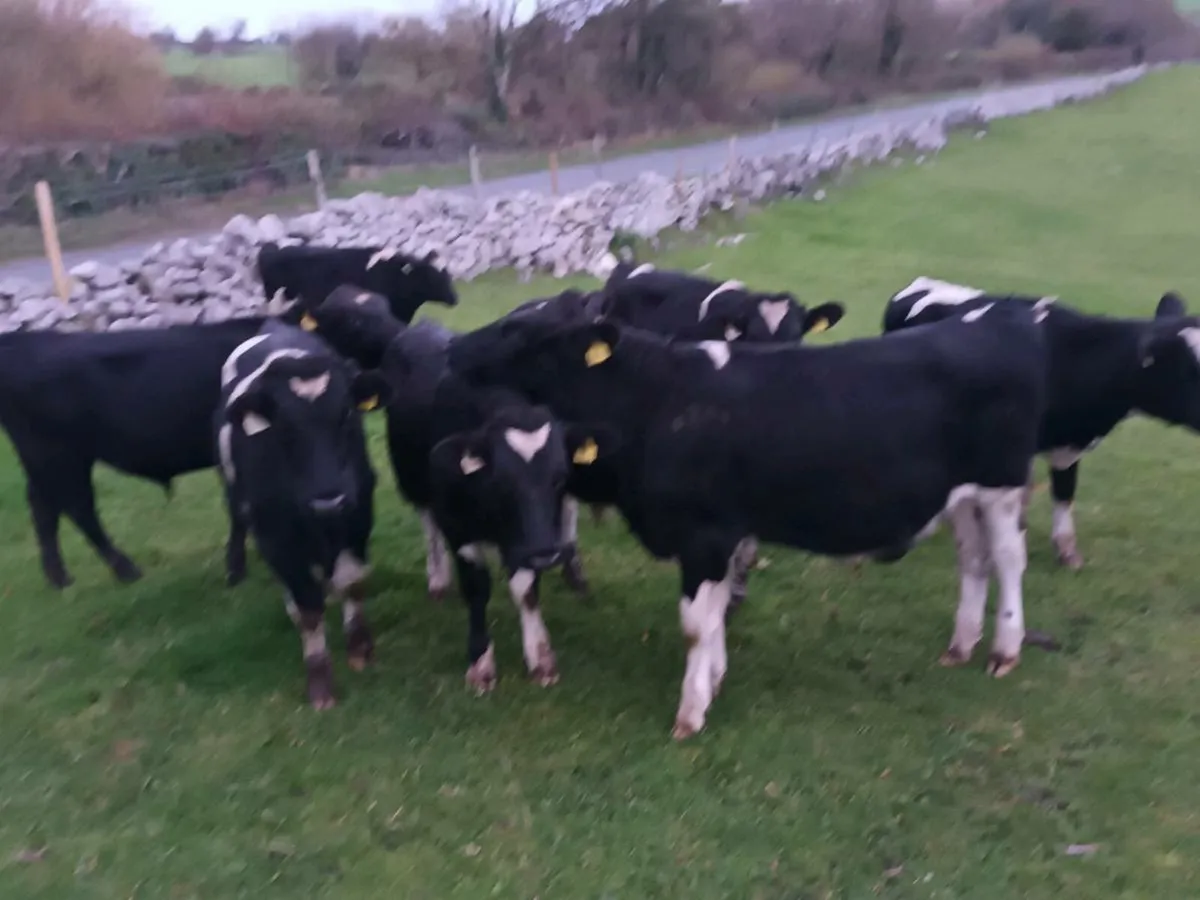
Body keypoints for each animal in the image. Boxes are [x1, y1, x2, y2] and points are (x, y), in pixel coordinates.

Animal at [215, 319, 391, 709]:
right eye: (282, 426)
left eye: (347, 414)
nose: (327, 501)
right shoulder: (275, 536)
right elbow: (308, 608)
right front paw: (320, 682)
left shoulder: (358, 516)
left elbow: (352, 581)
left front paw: (361, 650)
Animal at [447, 303, 1049, 739]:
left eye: (520, 336)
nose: (453, 348)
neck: (655, 401)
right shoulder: (723, 534)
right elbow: (714, 615)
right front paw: (715, 678)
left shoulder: (704, 536)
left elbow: (695, 623)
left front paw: (691, 711)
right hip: (963, 499)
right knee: (974, 560)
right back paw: (961, 645)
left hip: (1000, 487)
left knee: (1009, 559)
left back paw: (1005, 650)